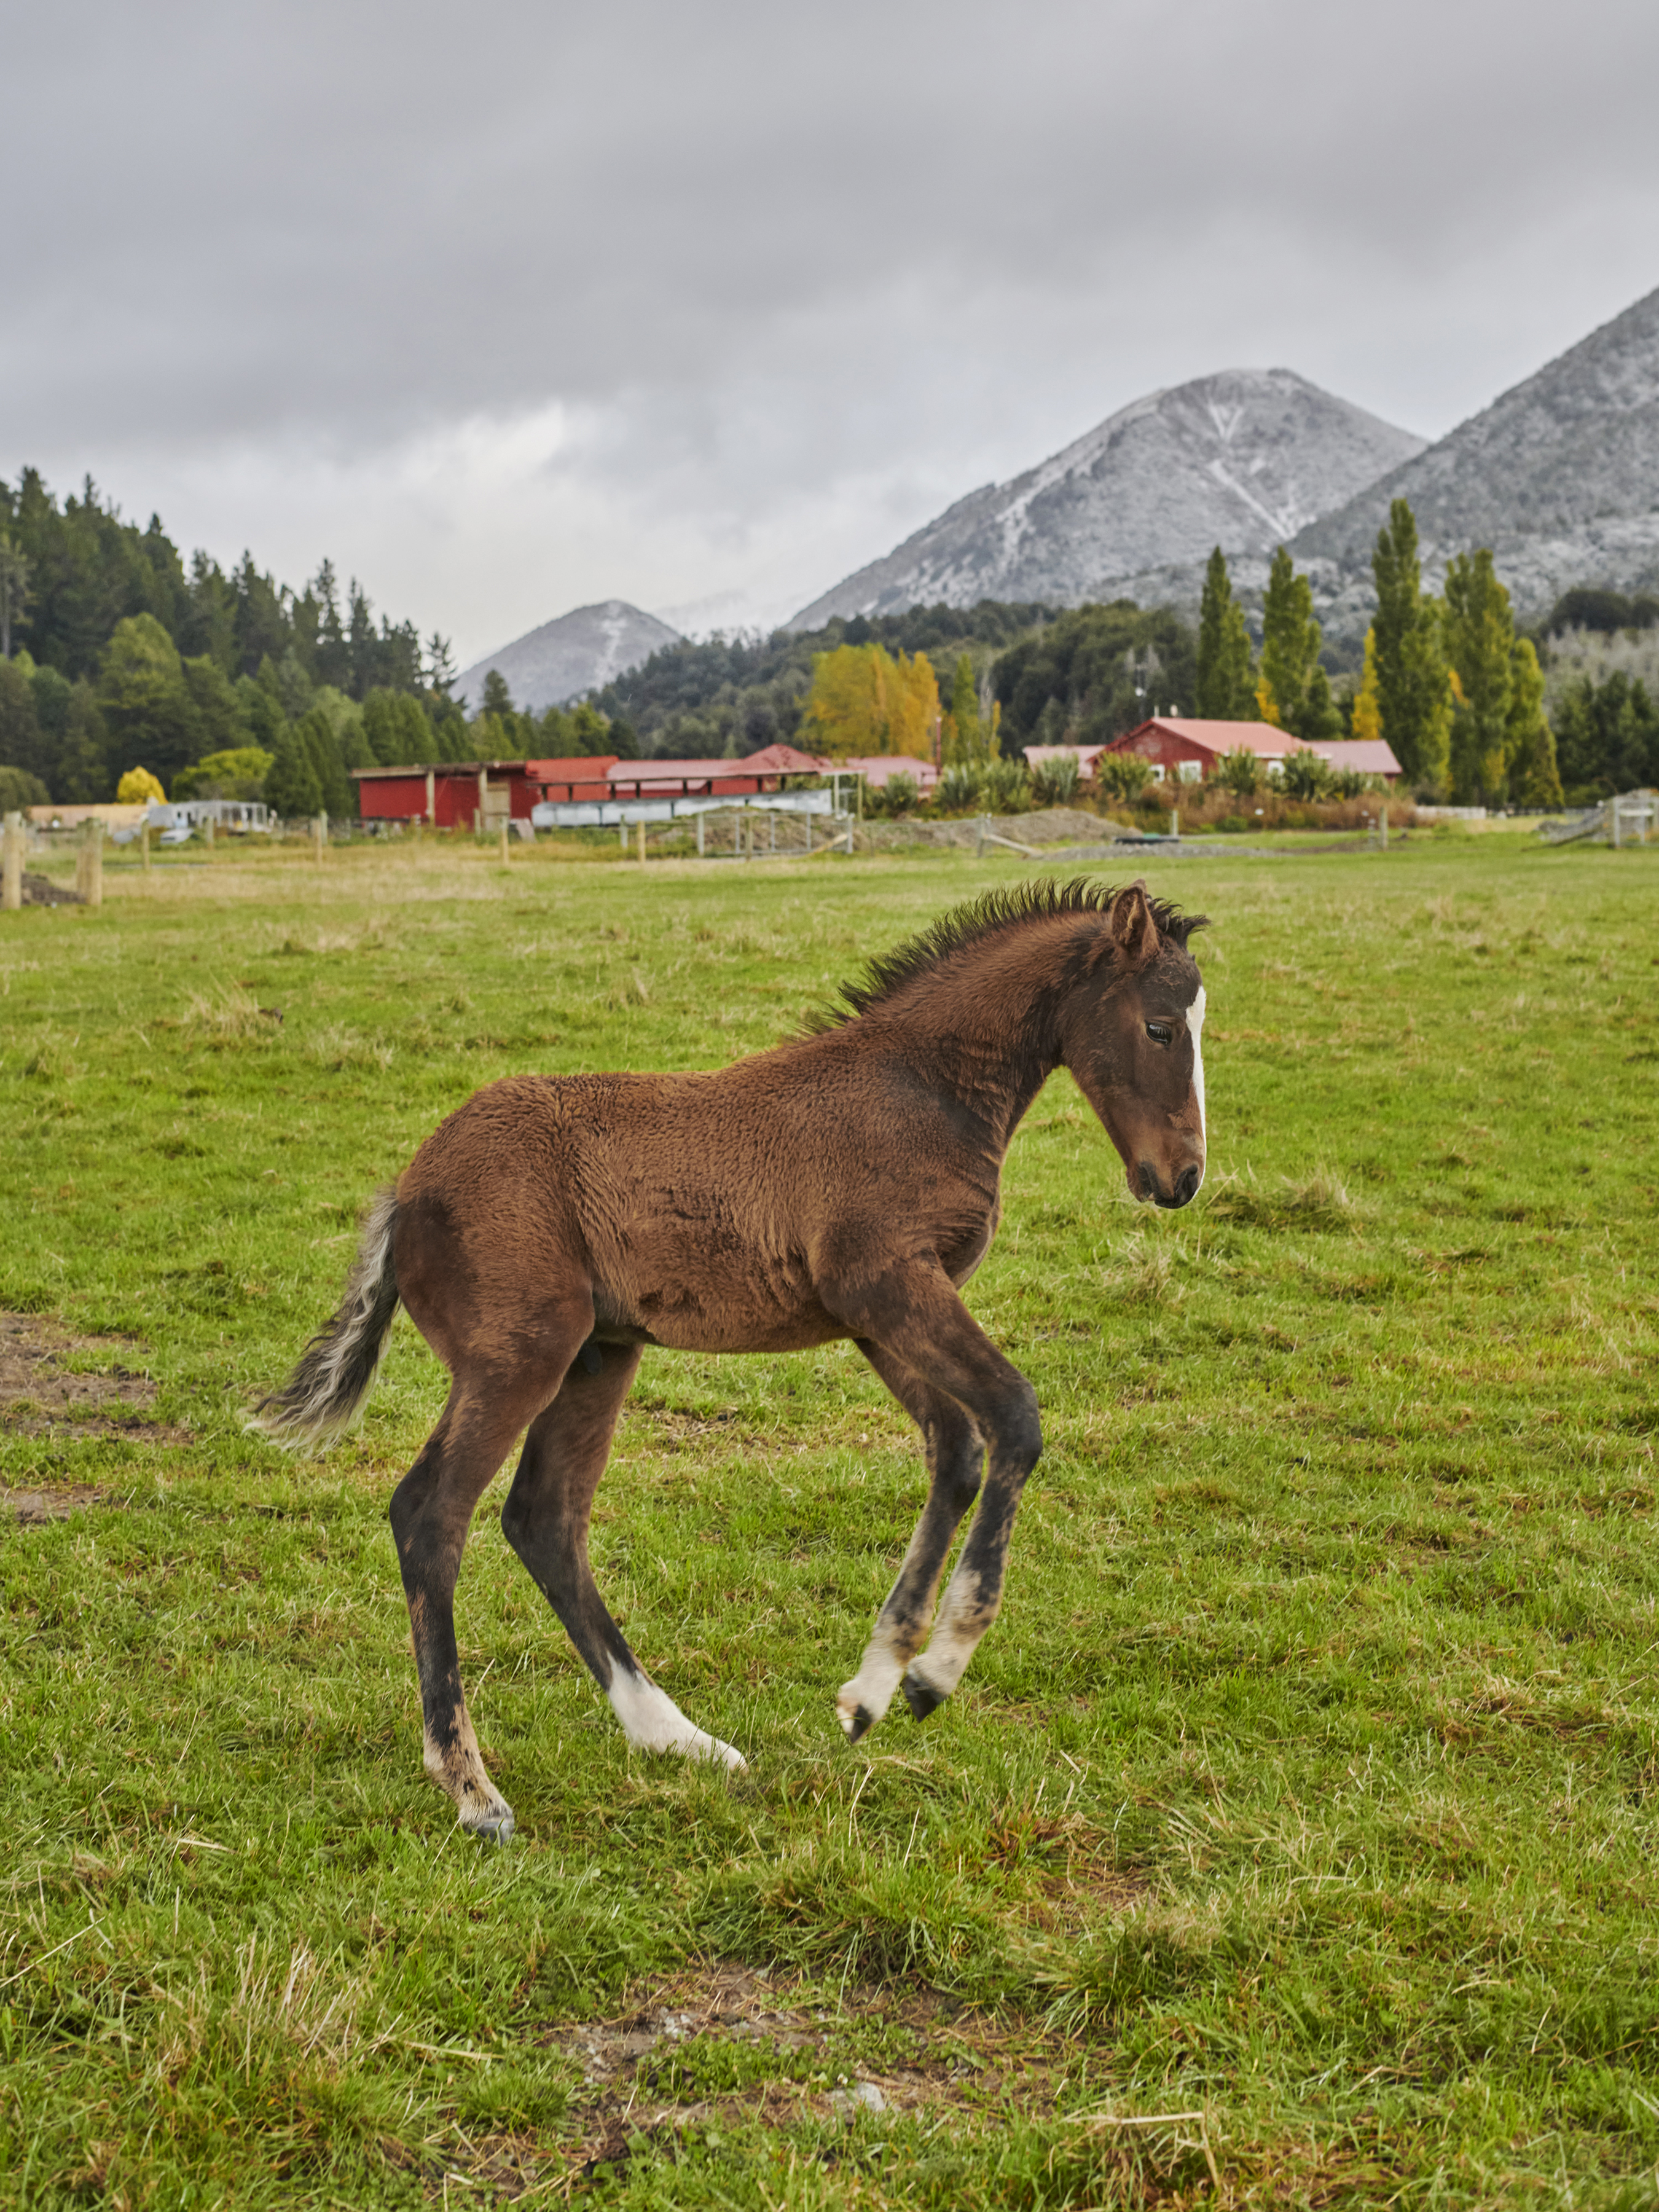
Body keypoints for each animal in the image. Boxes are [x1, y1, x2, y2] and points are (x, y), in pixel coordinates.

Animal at [253, 878, 1208, 1838]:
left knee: (544, 1520)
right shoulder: (889, 1284)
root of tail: (406, 1192)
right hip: (517, 1359)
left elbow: (958, 1451)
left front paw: (872, 1691)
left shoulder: (877, 1316)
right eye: (1162, 1027)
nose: (1183, 1179)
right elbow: (1014, 1416)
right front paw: (936, 1674)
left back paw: (677, 1738)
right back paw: (470, 1784)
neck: (922, 1088)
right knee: (431, 1515)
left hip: (597, 1357)